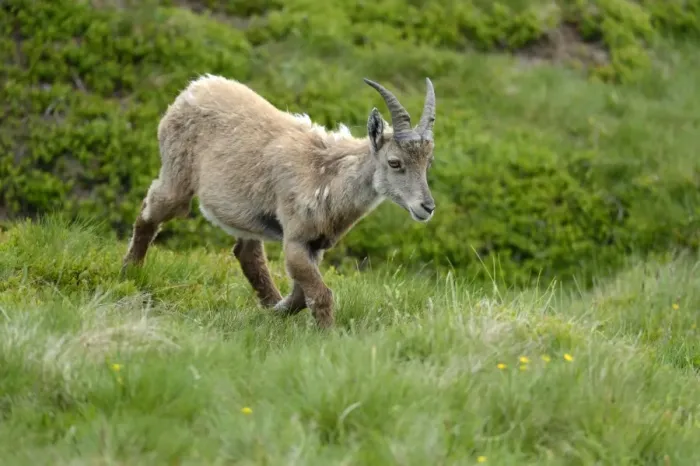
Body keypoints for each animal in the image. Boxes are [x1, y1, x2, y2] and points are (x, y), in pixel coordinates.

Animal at [121, 74, 437, 328]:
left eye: (428, 162)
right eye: (395, 162)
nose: (427, 207)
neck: (326, 175)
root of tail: (192, 89)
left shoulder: (315, 244)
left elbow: (300, 296)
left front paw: (275, 312)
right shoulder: (296, 238)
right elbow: (319, 295)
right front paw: (328, 338)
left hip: (245, 214)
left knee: (247, 254)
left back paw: (268, 304)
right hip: (177, 178)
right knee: (149, 213)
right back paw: (129, 273)